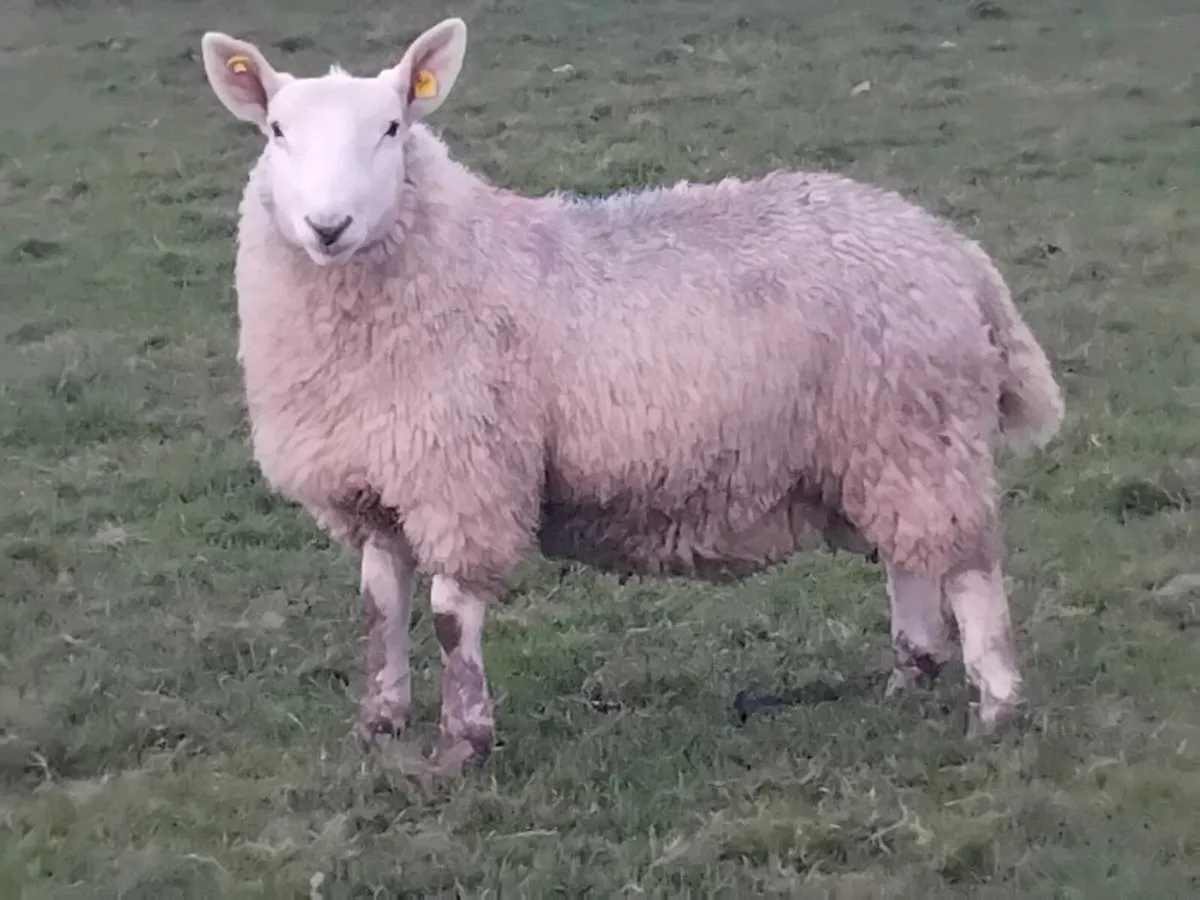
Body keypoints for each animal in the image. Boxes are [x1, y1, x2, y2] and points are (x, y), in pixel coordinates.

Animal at [199, 17, 1065, 769]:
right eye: (276, 131)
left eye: (390, 128)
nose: (328, 226)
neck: (450, 257)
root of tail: (958, 255)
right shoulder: (377, 482)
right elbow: (378, 607)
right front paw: (379, 722)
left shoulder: (463, 475)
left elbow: (448, 617)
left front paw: (462, 744)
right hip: (882, 441)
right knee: (912, 558)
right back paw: (908, 679)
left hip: (919, 427)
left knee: (969, 570)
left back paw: (998, 709)